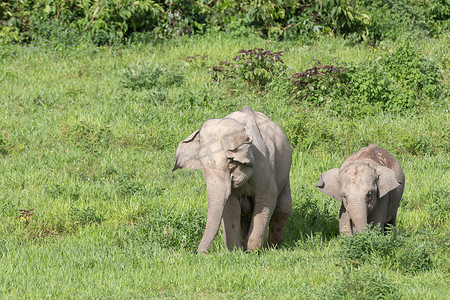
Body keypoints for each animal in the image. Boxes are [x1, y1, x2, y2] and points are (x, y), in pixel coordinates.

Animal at [171, 105, 292, 253]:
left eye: (230, 163)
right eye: (203, 166)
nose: (200, 254)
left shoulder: (262, 161)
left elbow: (266, 198)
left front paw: (252, 252)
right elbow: (231, 206)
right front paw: (235, 252)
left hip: (284, 169)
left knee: (282, 208)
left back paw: (273, 247)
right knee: (245, 213)